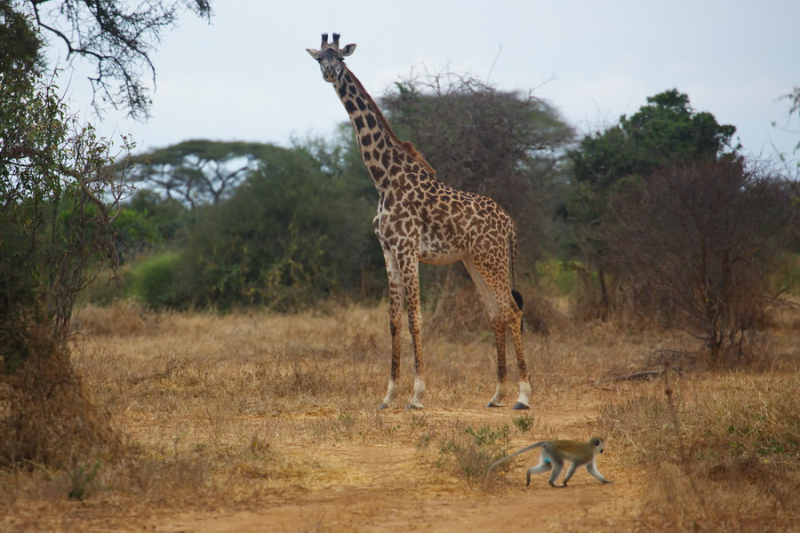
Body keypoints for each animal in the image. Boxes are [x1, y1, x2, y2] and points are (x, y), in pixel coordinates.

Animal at [308, 33, 532, 410]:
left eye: (339, 57)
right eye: (318, 59)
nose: (328, 73)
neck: (383, 178)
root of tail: (510, 225)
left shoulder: (408, 250)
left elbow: (415, 318)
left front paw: (417, 395)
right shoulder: (387, 251)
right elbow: (393, 322)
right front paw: (388, 396)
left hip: (492, 259)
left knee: (512, 310)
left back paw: (524, 396)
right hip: (475, 261)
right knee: (496, 312)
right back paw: (497, 393)